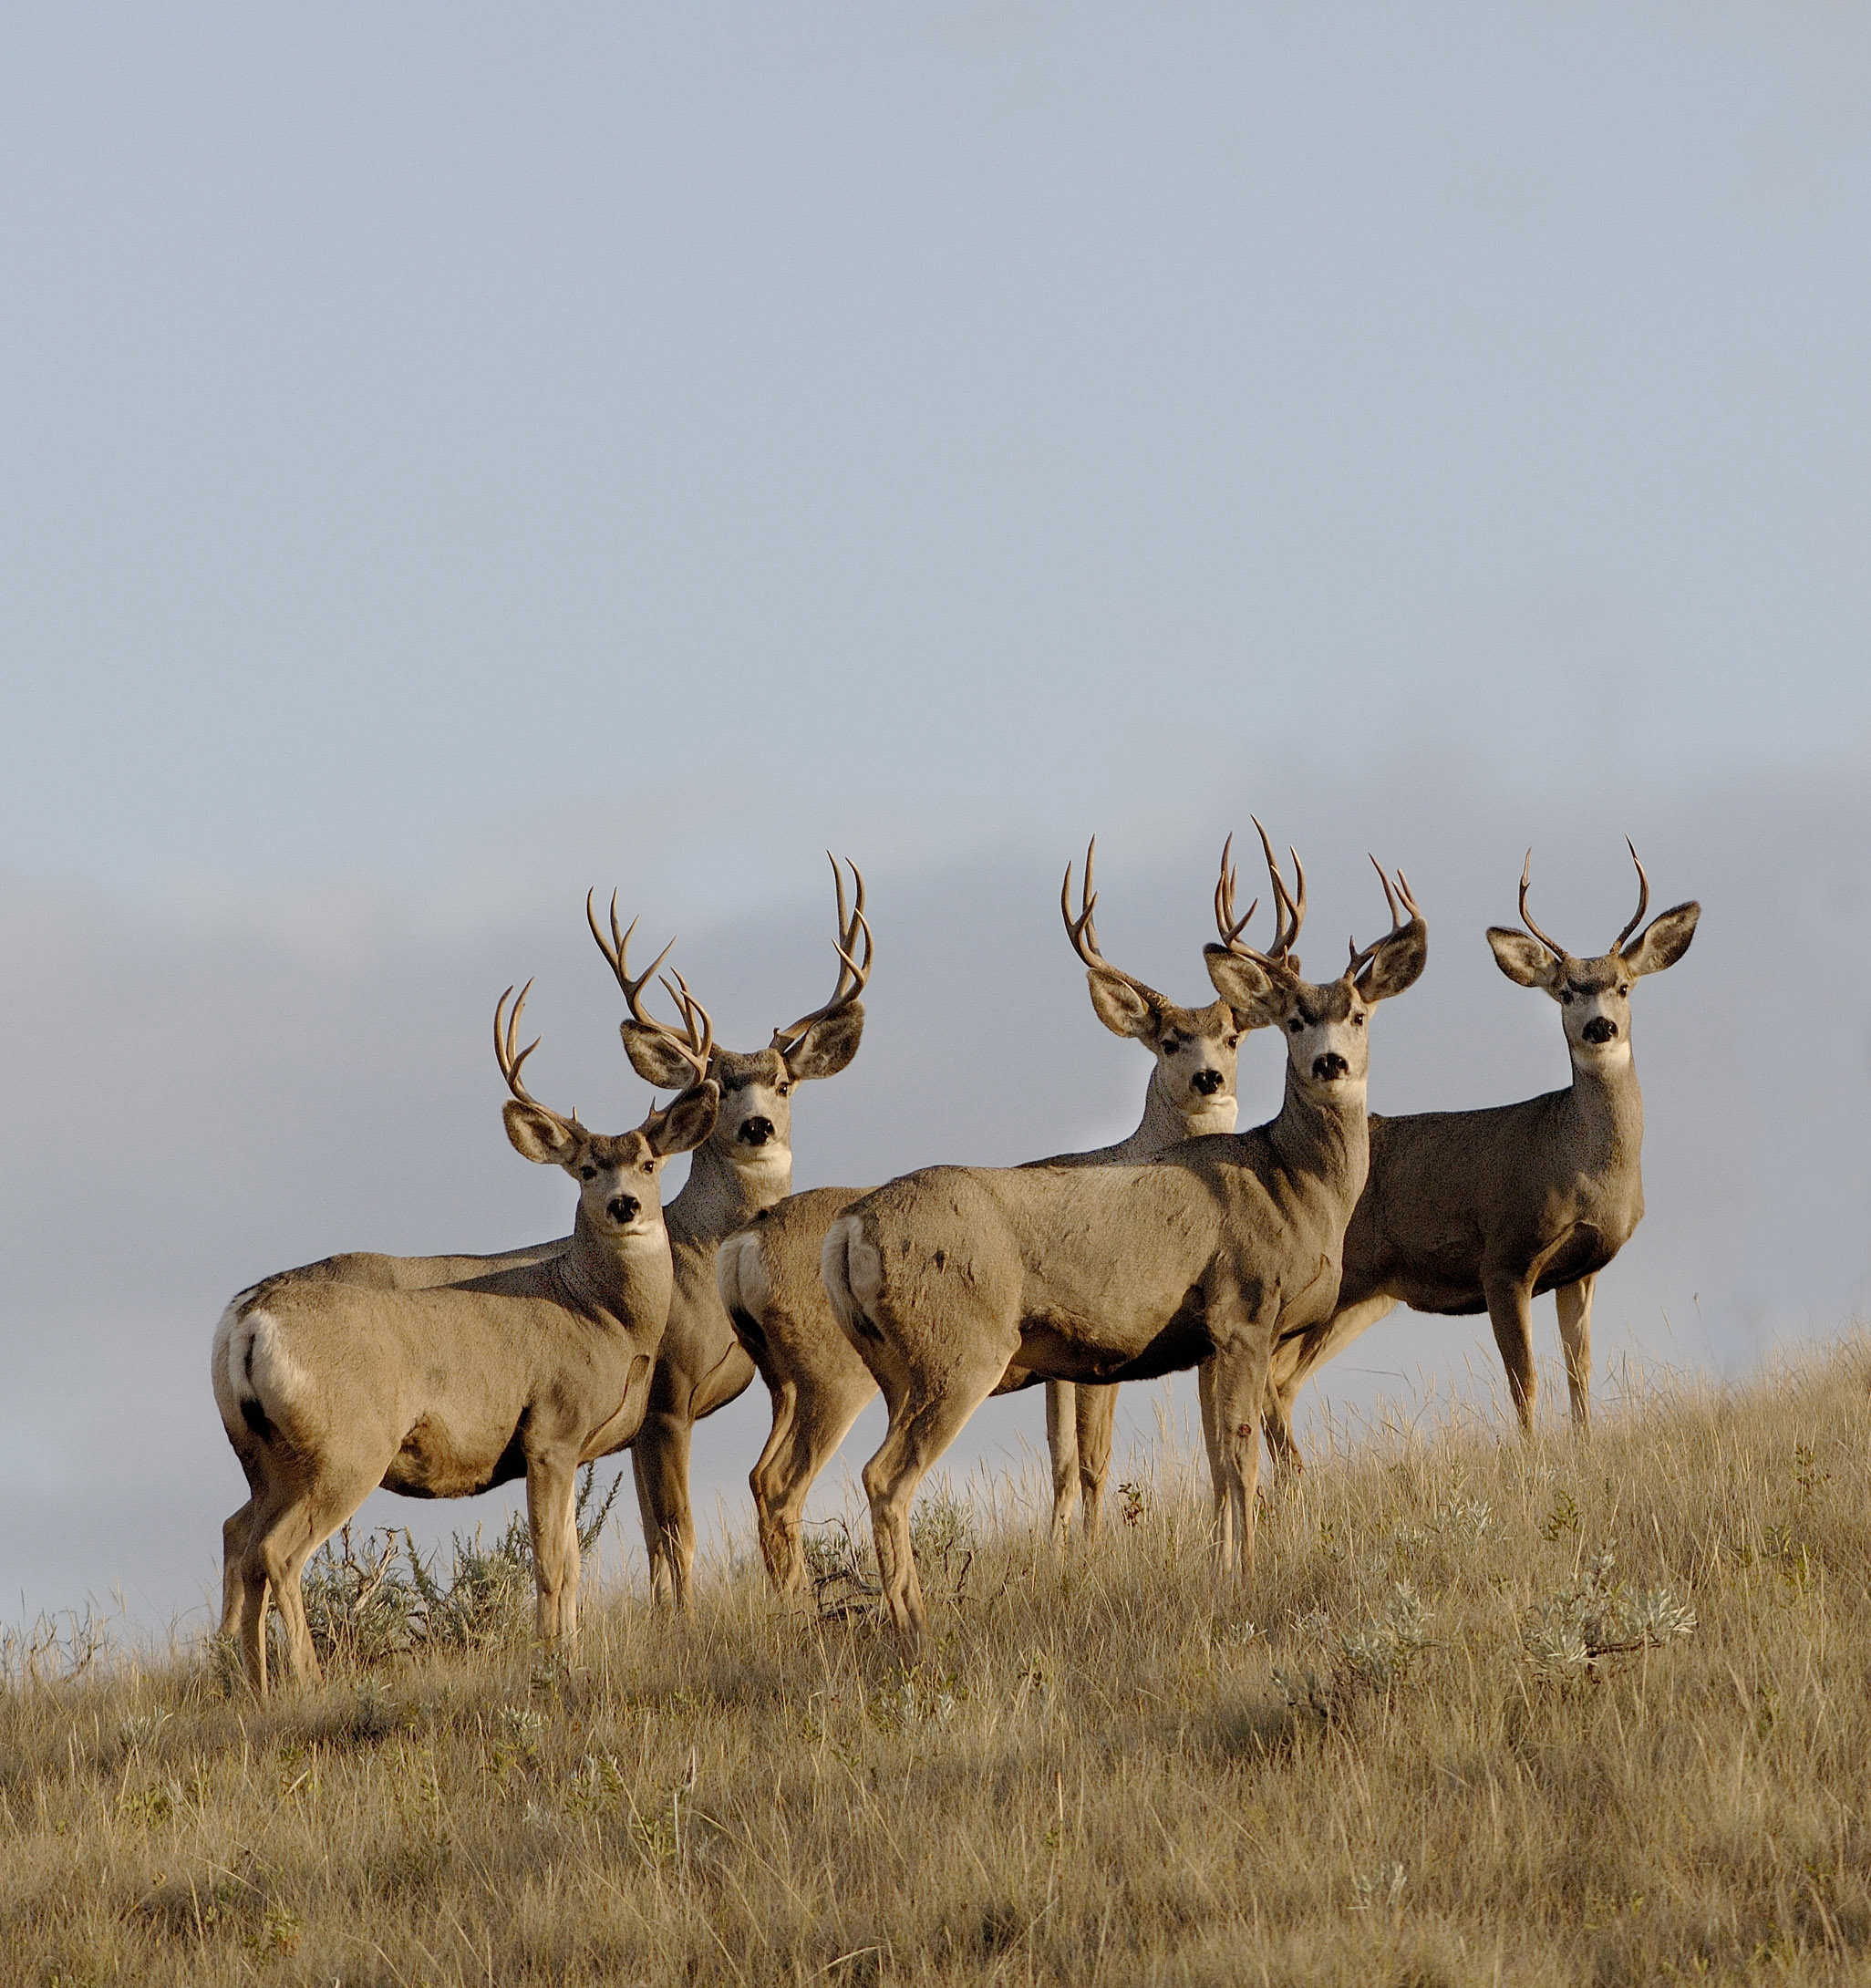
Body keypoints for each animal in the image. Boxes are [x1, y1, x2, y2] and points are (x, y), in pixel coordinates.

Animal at [210, 978, 723, 1693]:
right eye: (587, 1169)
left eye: (650, 1163)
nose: (626, 1206)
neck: (601, 1316)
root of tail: (249, 1319)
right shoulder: (551, 1431)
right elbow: (554, 1564)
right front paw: (552, 1663)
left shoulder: (573, 1448)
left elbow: (573, 1565)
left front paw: (569, 1656)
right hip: (347, 1448)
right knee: (278, 1552)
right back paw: (309, 1680)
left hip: (264, 1456)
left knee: (239, 1536)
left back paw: (254, 1685)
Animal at [716, 831, 1256, 1590]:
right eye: (1169, 1040)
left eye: (1233, 1037)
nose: (1209, 1079)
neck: (1133, 1157)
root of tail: (745, 1243)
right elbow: (1090, 1460)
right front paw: (1089, 1560)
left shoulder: (1064, 1366)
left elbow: (1072, 1459)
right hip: (833, 1371)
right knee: (788, 1484)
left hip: (785, 1378)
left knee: (762, 1478)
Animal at [815, 834, 1415, 1646]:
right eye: (1294, 1021)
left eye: (1357, 1014)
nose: (1331, 1063)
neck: (1290, 1181)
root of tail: (850, 1226)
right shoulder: (1243, 1310)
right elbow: (1243, 1457)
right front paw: (1247, 1580)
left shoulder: (1205, 1342)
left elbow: (1216, 1462)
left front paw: (1219, 1573)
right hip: (957, 1348)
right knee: (887, 1477)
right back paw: (919, 1628)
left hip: (892, 1368)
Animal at [1256, 838, 1693, 1478]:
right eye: (1566, 990)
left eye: (1623, 986)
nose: (1600, 1027)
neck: (1581, 1166)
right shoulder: (1506, 1255)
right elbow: (1525, 1378)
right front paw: (1533, 1458)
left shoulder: (1581, 1269)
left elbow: (1580, 1371)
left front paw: (1584, 1447)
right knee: (1264, 1374)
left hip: (1360, 1299)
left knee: (1281, 1381)